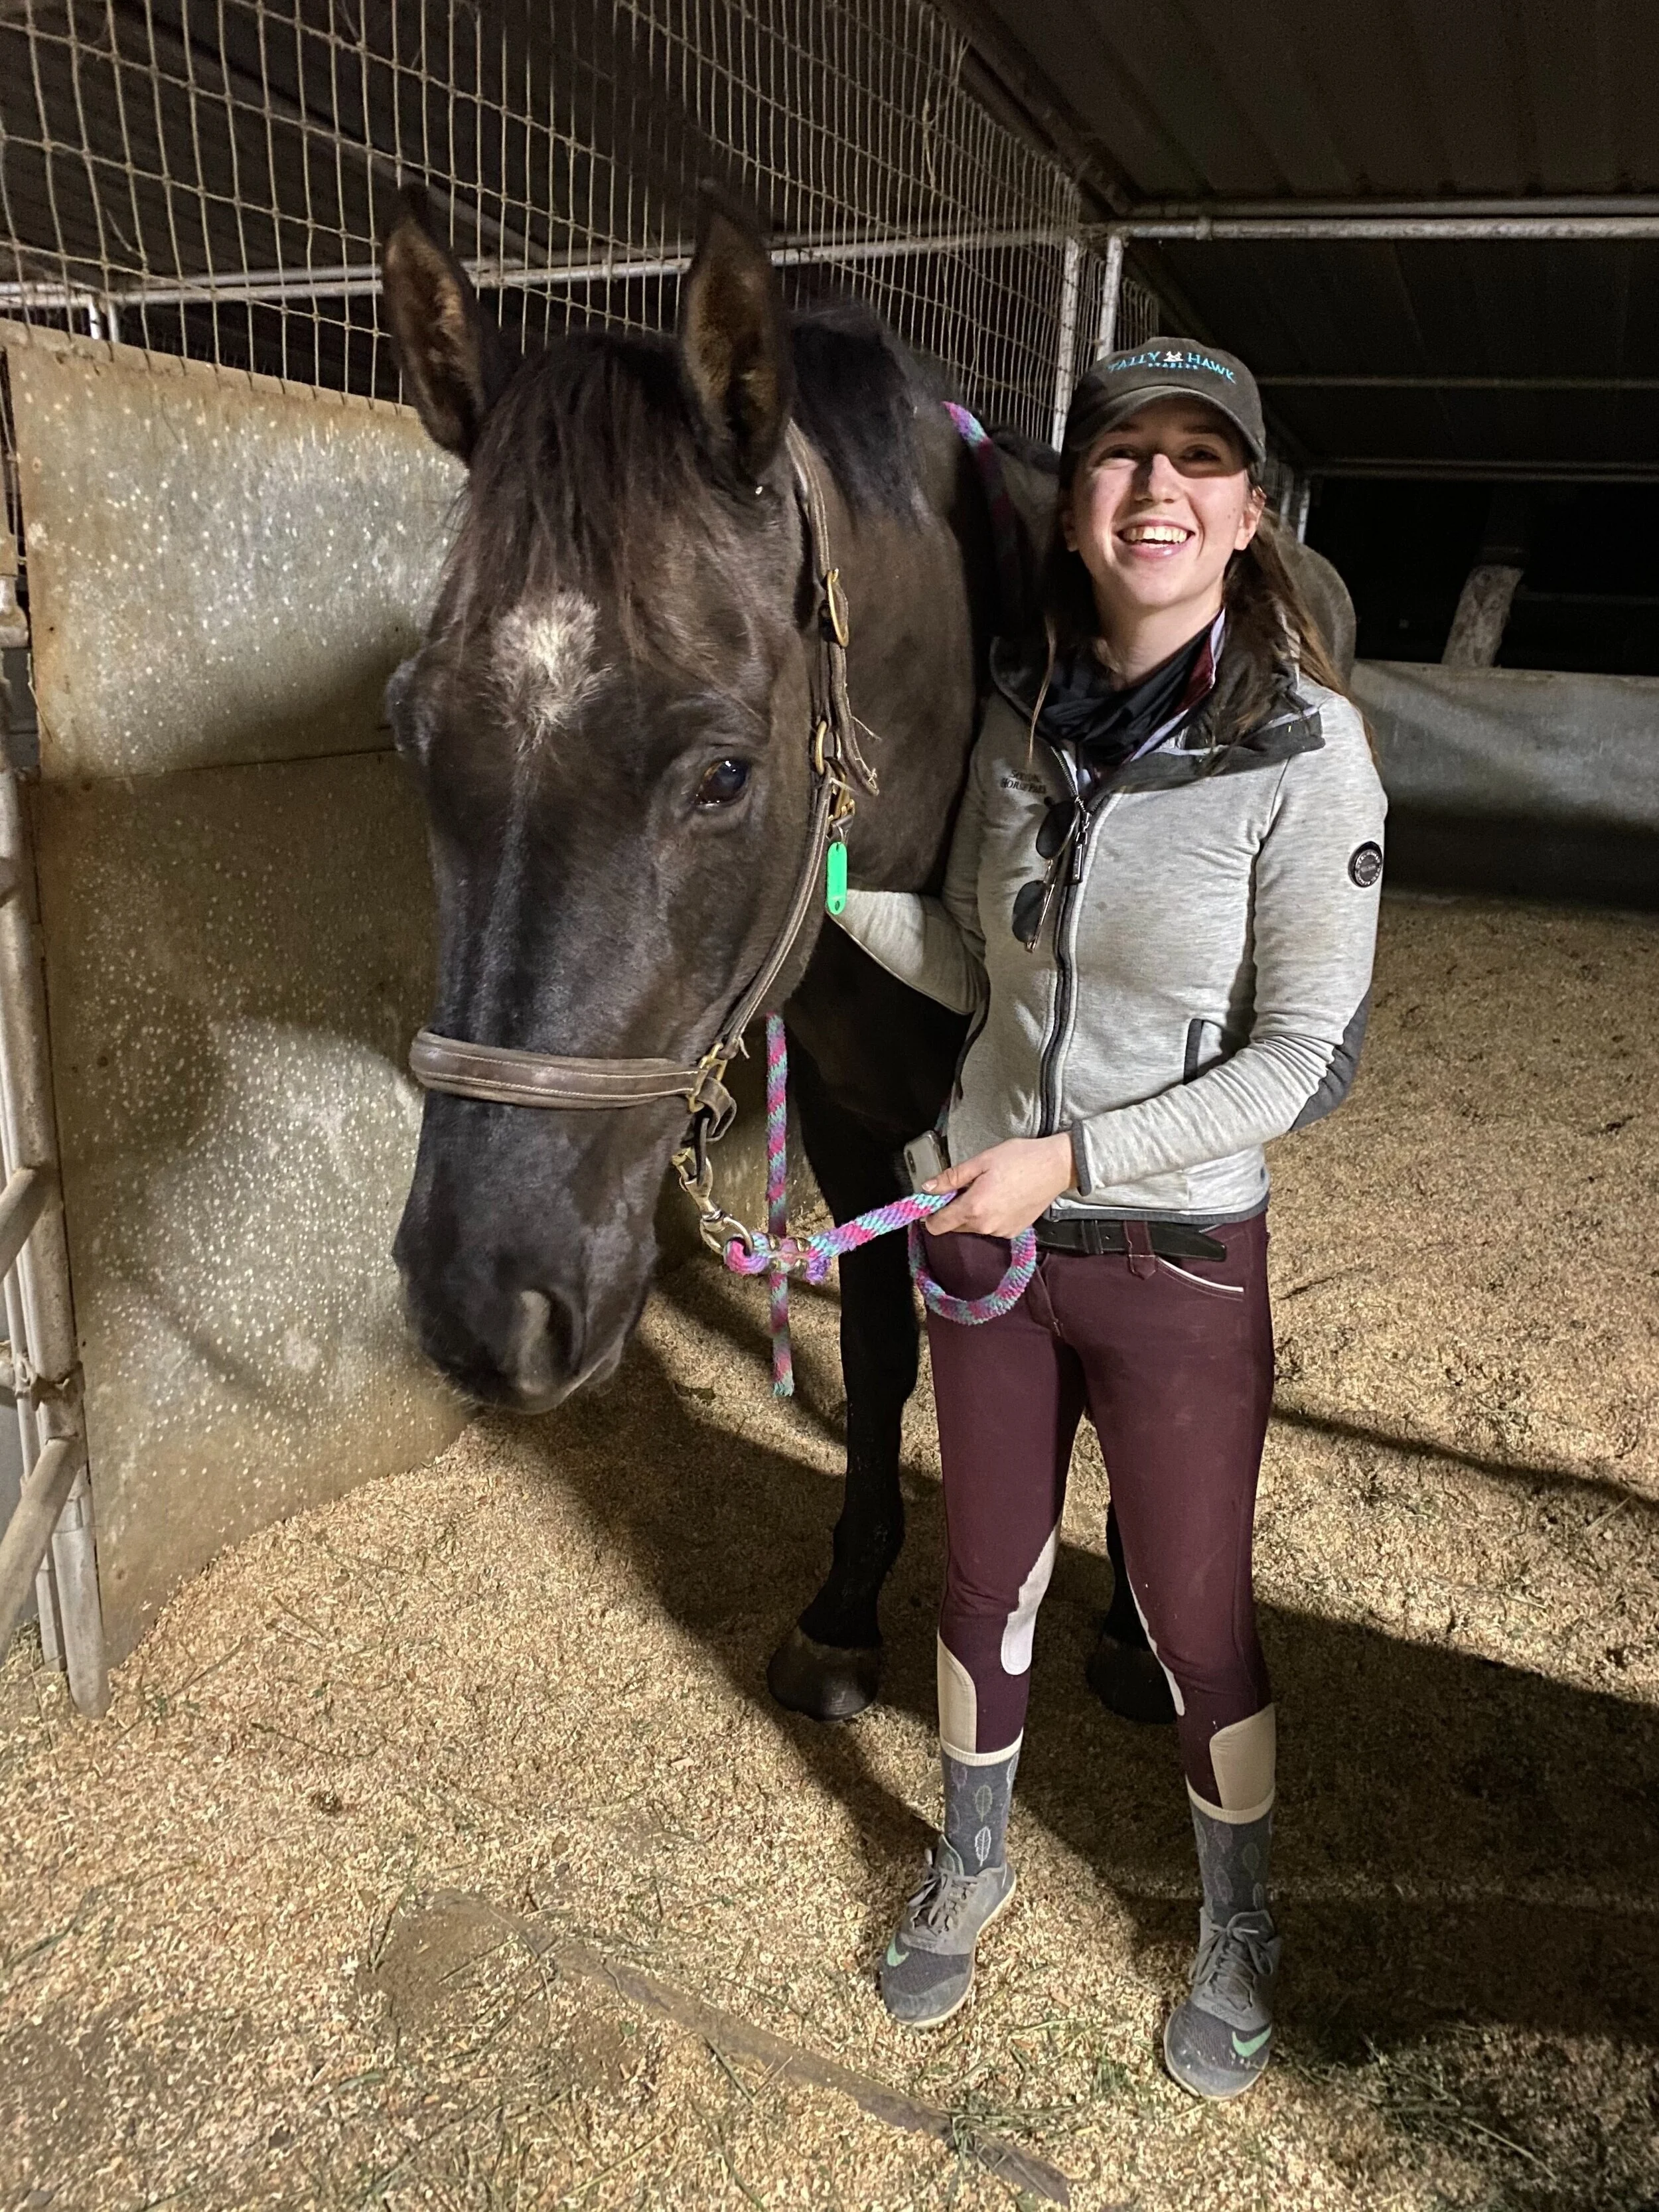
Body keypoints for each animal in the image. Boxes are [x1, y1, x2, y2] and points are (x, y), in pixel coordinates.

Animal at [379, 189, 1355, 1727]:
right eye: (410, 734)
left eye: (724, 772)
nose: (480, 1307)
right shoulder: (845, 1118)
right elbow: (888, 1346)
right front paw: (845, 1608)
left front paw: (1130, 1625)